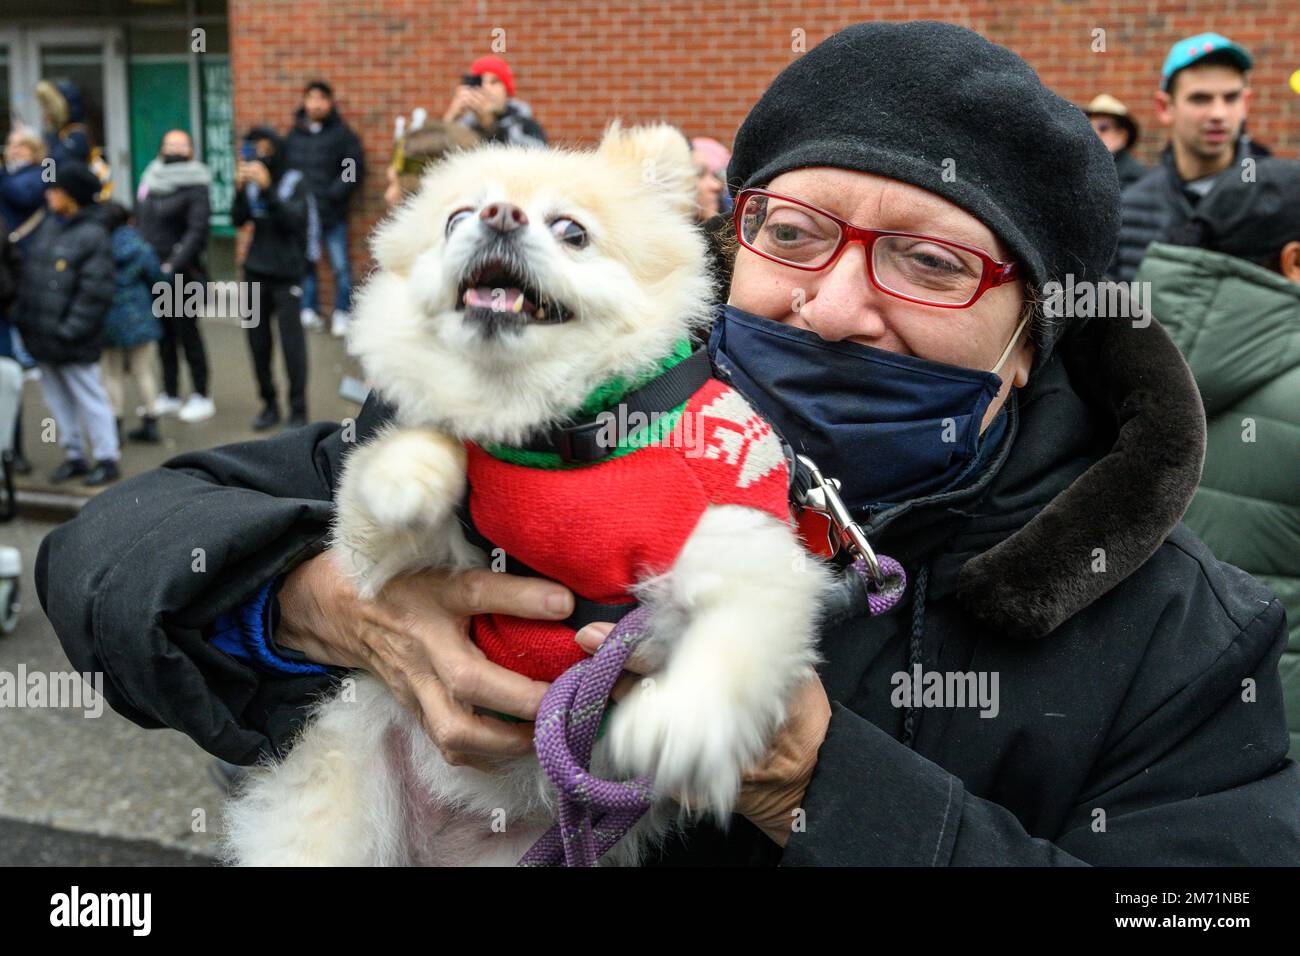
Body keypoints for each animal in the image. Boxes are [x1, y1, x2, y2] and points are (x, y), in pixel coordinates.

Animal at [223, 121, 826, 868]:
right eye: (455, 218)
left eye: (571, 231)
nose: (497, 216)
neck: (562, 440)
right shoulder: (418, 563)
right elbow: (382, 503)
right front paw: (412, 471)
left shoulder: (739, 531)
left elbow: (737, 628)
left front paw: (682, 720)